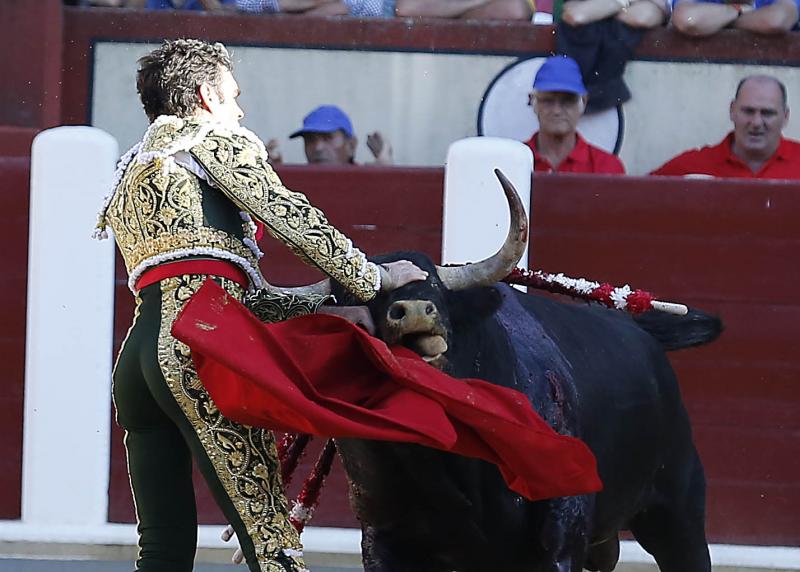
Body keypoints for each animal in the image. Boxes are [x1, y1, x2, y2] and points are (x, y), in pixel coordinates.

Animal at [330, 172, 720, 572]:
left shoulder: (561, 530)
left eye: (436, 287)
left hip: (678, 512)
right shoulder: (383, 533)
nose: (412, 311)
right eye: (359, 298)